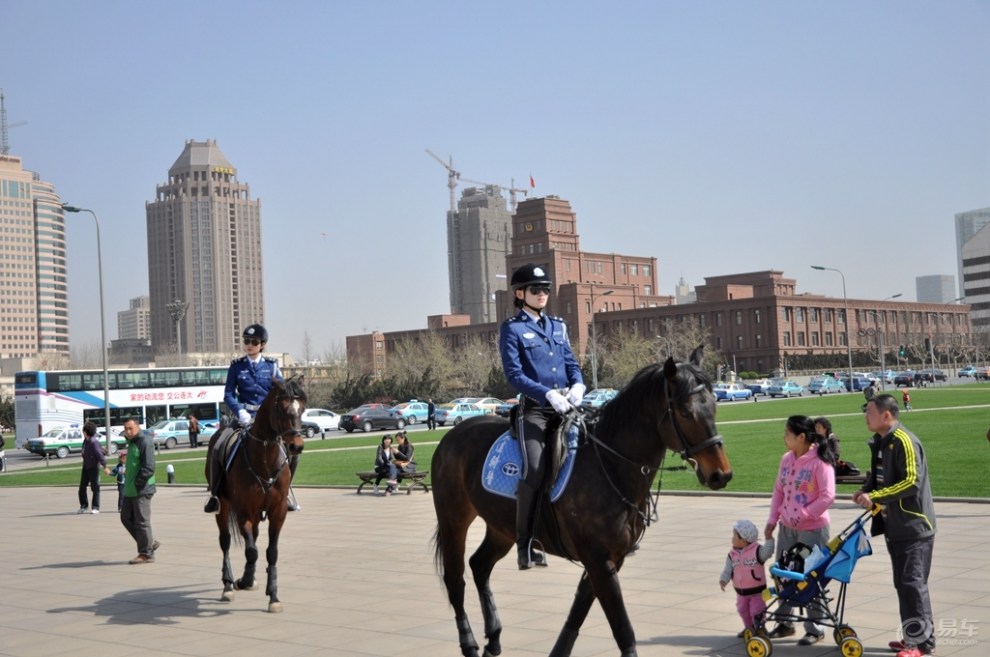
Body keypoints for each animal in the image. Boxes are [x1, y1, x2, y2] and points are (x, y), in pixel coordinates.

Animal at [207, 376, 304, 612]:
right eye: (283, 409)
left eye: (303, 409)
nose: (296, 446)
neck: (265, 459)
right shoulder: (243, 511)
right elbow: (251, 551)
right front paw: (243, 581)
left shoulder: (278, 512)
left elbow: (270, 552)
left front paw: (274, 596)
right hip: (223, 507)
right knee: (225, 541)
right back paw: (228, 585)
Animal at [430, 346, 732, 652]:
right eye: (685, 412)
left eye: (714, 407)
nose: (721, 474)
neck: (609, 464)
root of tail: (452, 435)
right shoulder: (599, 560)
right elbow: (623, 630)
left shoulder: (608, 559)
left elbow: (578, 611)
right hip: (453, 519)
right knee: (455, 578)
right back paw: (468, 641)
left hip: (501, 527)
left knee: (480, 565)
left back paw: (493, 636)